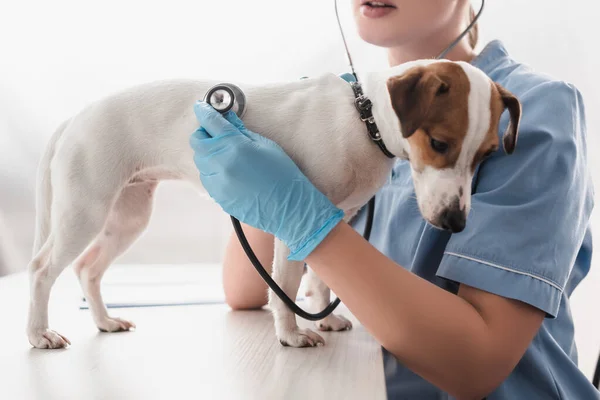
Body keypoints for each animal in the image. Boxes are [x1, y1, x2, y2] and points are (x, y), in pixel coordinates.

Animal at [25, 57, 516, 348]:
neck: (364, 119)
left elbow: (319, 278)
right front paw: (293, 334)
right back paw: (39, 333)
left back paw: (104, 322)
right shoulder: (293, 223)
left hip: (127, 217)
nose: (454, 223)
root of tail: (77, 116)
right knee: (43, 270)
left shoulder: (330, 220)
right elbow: (286, 286)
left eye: (488, 155)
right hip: (85, 210)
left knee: (88, 268)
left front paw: (324, 318)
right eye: (439, 143)